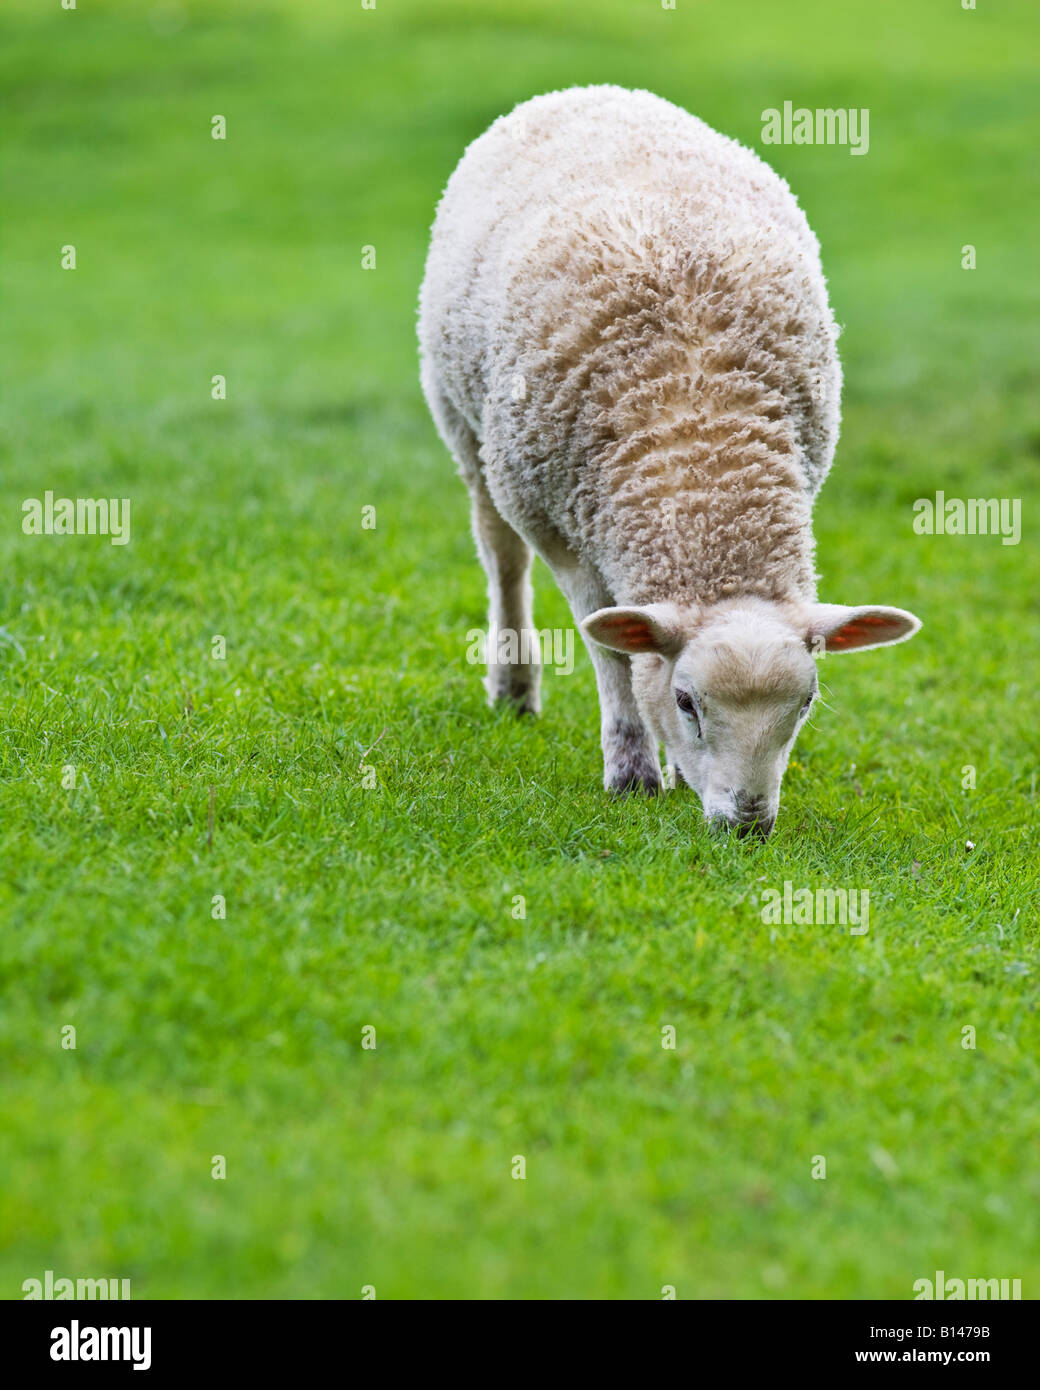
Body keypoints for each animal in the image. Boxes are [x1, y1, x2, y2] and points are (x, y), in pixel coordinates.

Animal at [418, 85, 921, 838]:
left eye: (804, 705)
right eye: (686, 702)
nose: (746, 825)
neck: (704, 462)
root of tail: (590, 90)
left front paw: (676, 775)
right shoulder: (568, 532)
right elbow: (612, 650)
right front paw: (632, 773)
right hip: (469, 430)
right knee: (501, 557)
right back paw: (512, 686)